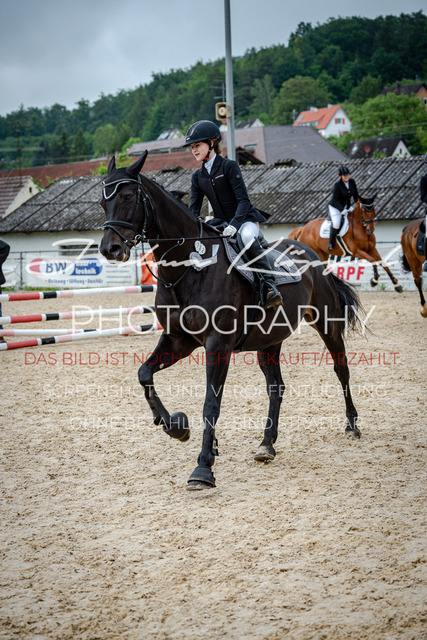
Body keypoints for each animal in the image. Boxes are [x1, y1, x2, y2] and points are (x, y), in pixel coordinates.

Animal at [99, 153, 364, 490]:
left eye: (128, 197)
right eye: (102, 202)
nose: (110, 249)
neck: (190, 267)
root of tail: (312, 253)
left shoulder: (218, 344)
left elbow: (211, 403)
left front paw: (203, 468)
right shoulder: (179, 340)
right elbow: (144, 374)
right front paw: (175, 426)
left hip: (326, 325)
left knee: (341, 370)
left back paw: (352, 425)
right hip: (269, 340)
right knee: (276, 387)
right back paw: (267, 444)